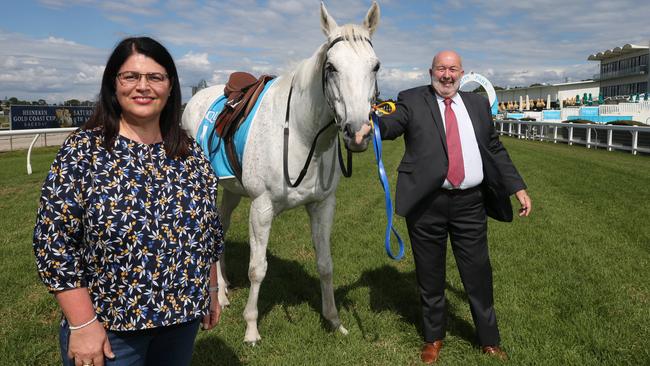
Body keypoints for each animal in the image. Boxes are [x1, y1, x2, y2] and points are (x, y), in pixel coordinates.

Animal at [180, 2, 378, 344]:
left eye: (375, 66)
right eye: (331, 68)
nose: (358, 133)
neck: (300, 132)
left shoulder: (323, 205)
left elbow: (325, 264)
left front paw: (334, 320)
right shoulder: (261, 208)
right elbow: (257, 269)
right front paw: (251, 328)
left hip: (230, 190)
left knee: (223, 225)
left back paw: (224, 289)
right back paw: (220, 297)